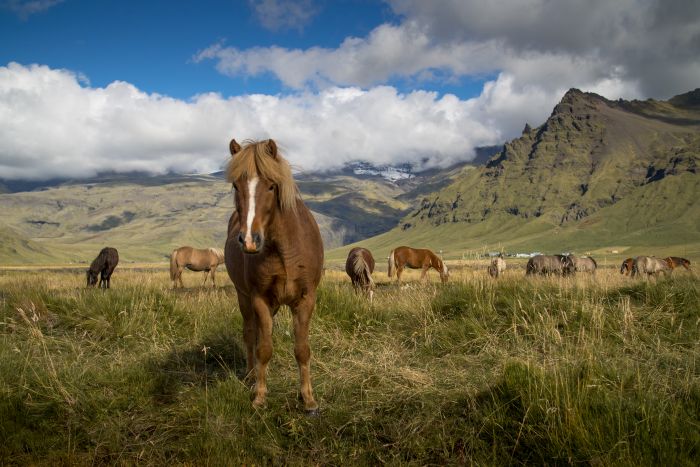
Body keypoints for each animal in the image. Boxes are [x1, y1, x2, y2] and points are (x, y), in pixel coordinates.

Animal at [224, 138, 322, 414]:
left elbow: (302, 349)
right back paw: (250, 376)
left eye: (271, 185)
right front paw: (260, 396)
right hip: (244, 297)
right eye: (235, 185)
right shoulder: (259, 299)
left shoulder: (305, 299)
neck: (284, 249)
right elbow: (264, 348)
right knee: (250, 334)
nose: (249, 240)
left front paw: (308, 398)